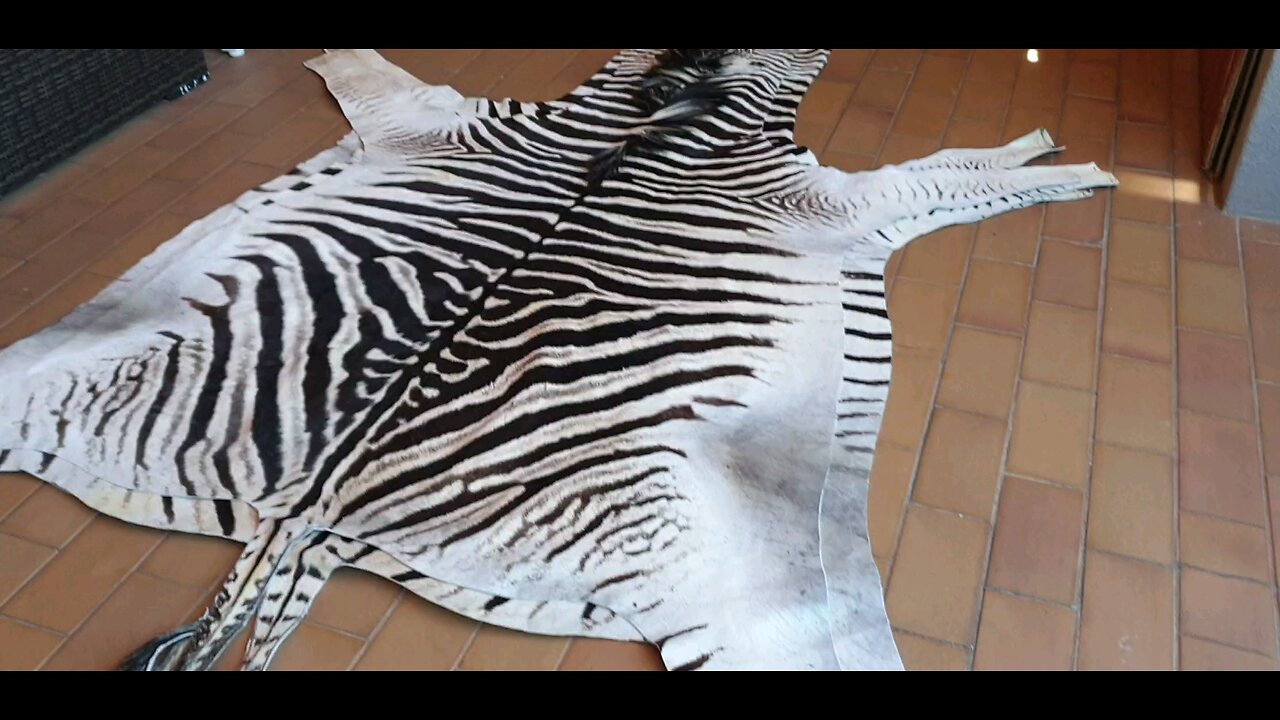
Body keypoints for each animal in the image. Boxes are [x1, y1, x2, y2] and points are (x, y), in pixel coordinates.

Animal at [0, 49, 1115, 670]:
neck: (660, 120)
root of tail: (317, 502)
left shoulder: (442, 122)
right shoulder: (839, 204)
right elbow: (952, 175)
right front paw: (1072, 161)